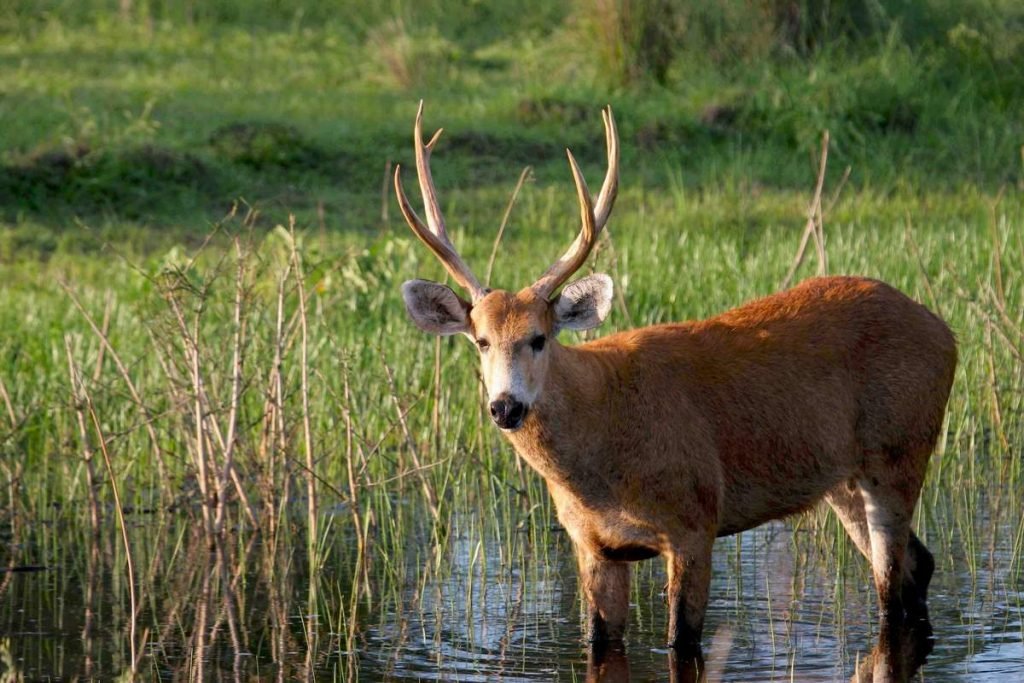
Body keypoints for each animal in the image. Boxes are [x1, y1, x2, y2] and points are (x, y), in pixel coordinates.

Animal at [393, 100, 958, 651]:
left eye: (539, 337)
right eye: (481, 340)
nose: (506, 406)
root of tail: (946, 332)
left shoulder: (695, 521)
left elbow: (680, 643)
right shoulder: (593, 545)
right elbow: (598, 641)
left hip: (900, 451)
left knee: (891, 588)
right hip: (844, 479)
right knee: (919, 564)